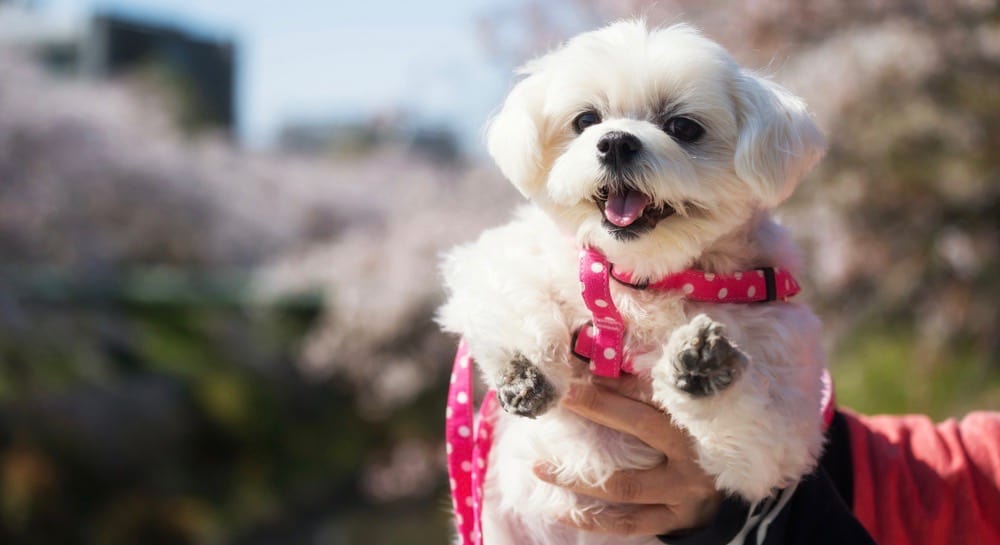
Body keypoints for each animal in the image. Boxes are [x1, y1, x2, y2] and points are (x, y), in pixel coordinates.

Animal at [442, 20, 824, 544]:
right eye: (586, 120)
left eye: (683, 127)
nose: (616, 141)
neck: (640, 281)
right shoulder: (500, 257)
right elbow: (507, 294)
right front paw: (524, 370)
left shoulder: (785, 426)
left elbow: (756, 439)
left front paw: (703, 365)